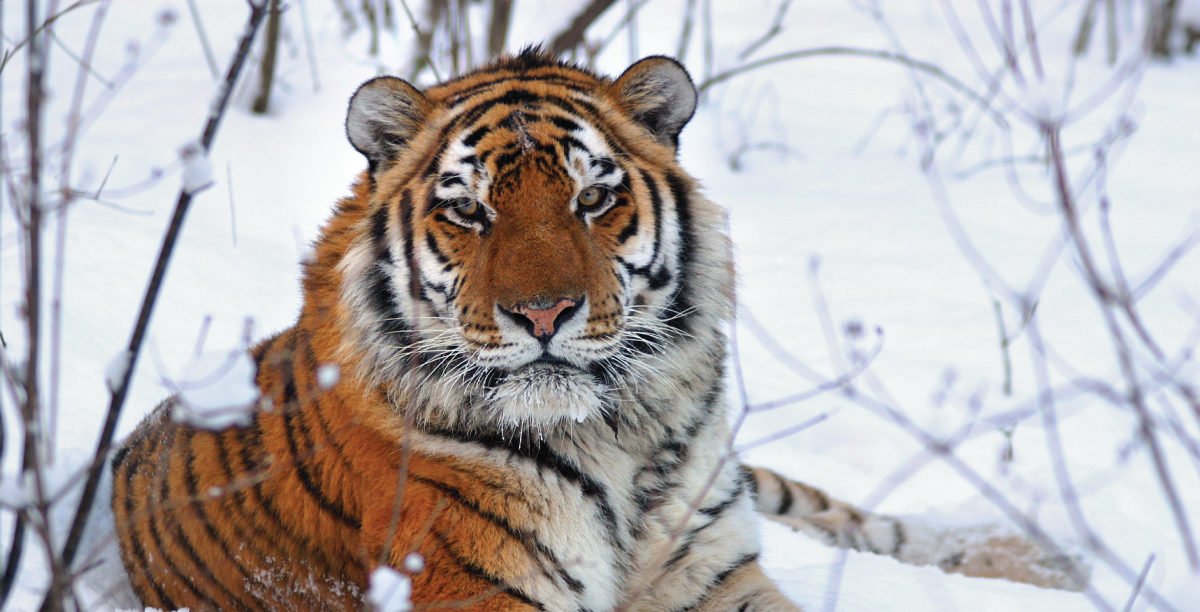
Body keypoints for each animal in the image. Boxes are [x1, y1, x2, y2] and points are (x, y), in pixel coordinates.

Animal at [112, 48, 1089, 612]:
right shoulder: (480, 589)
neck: (625, 436)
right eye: (467, 210)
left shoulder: (716, 572)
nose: (544, 313)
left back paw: (1047, 558)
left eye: (592, 198)